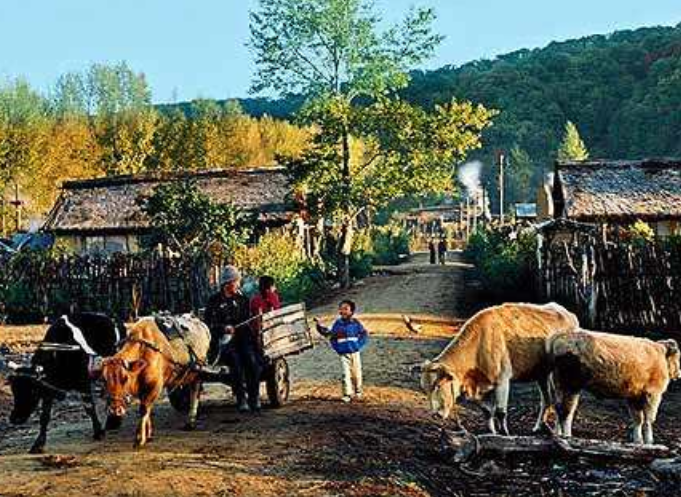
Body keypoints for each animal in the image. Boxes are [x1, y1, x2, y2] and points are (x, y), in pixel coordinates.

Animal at [99, 316, 209, 448]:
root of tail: (201, 323)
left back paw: (191, 421)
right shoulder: (143, 389)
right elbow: (148, 409)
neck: (143, 350)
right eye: (104, 379)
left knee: (195, 392)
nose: (115, 410)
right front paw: (149, 434)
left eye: (125, 378)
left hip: (198, 371)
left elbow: (144, 409)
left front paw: (139, 438)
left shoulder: (155, 385)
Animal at [422, 300, 576, 432]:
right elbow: (487, 411)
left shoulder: (502, 381)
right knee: (547, 399)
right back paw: (538, 427)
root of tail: (568, 314)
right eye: (425, 389)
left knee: (561, 403)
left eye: (438, 385)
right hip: (542, 373)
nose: (435, 414)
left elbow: (500, 412)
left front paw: (505, 434)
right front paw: (492, 432)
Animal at [548, 330, 680, 442]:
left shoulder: (634, 396)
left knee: (559, 409)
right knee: (566, 411)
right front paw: (649, 442)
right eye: (677, 357)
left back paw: (557, 434)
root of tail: (561, 337)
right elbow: (648, 420)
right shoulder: (652, 394)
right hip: (571, 387)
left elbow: (638, 419)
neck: (660, 354)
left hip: (560, 387)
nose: (679, 374)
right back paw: (567, 435)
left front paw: (638, 441)